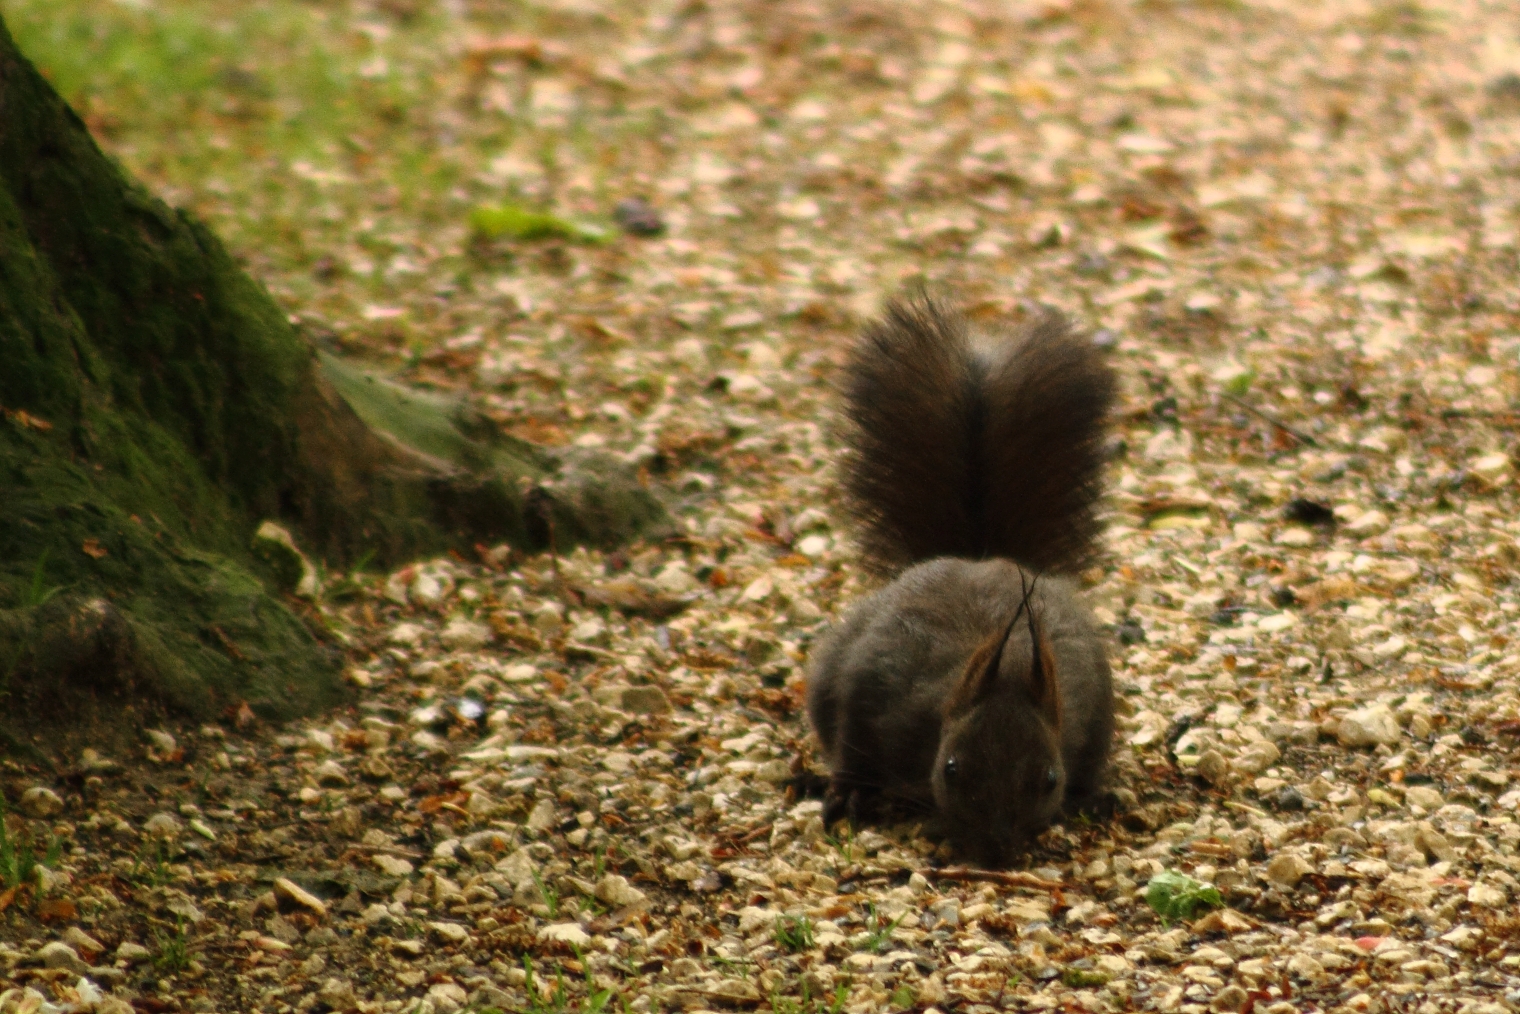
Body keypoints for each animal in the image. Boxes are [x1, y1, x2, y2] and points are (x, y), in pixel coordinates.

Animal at [808, 291, 1118, 863]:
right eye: (951, 770)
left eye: (1050, 779)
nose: (996, 849)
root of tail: (977, 557)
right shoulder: (875, 687)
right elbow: (852, 743)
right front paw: (851, 792)